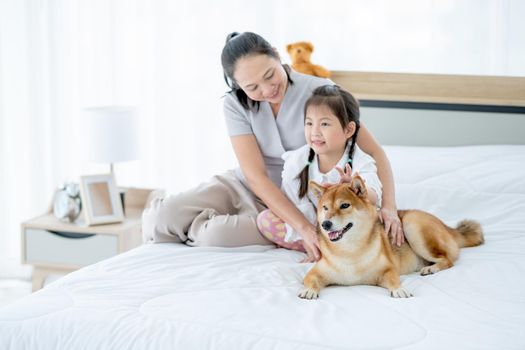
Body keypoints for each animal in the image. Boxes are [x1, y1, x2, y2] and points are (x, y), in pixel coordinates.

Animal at [298, 175, 484, 298]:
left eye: (344, 205)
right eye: (325, 208)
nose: (326, 224)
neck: (350, 251)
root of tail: (447, 226)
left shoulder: (388, 269)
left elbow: (394, 279)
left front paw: (398, 289)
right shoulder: (316, 272)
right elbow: (311, 279)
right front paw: (309, 290)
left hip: (412, 225)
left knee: (448, 260)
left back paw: (432, 268)